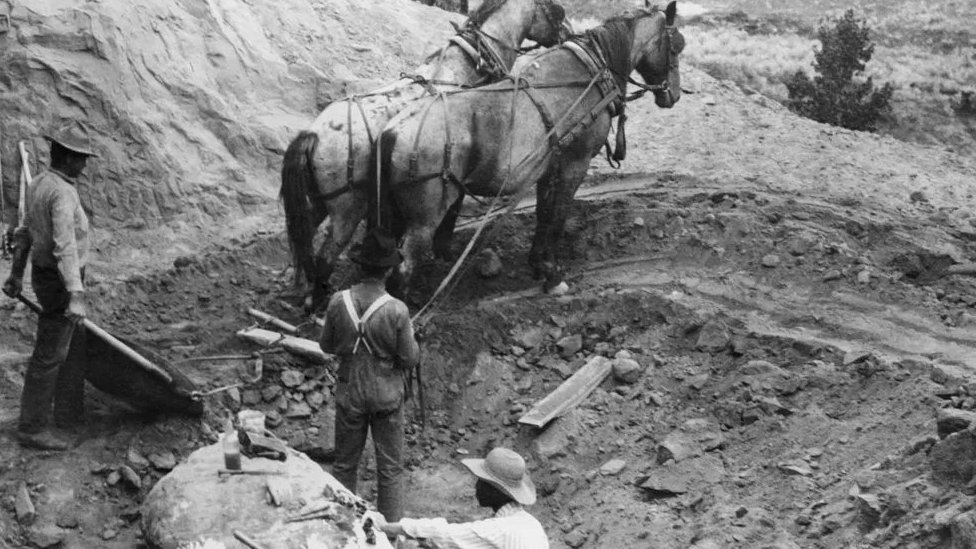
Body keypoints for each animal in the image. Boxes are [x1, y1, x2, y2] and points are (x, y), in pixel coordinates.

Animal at [278, 0, 568, 310]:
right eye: (554, 9)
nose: (567, 32)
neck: (462, 68)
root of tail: (313, 135)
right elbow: (452, 211)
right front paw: (443, 250)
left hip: (320, 203)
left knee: (304, 239)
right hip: (347, 211)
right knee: (326, 255)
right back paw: (319, 301)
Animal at [376, 0, 688, 300]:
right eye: (676, 46)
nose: (673, 94)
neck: (590, 71)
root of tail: (393, 131)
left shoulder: (550, 166)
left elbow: (544, 214)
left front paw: (538, 264)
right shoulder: (575, 163)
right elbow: (558, 216)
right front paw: (553, 275)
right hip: (424, 221)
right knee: (403, 270)